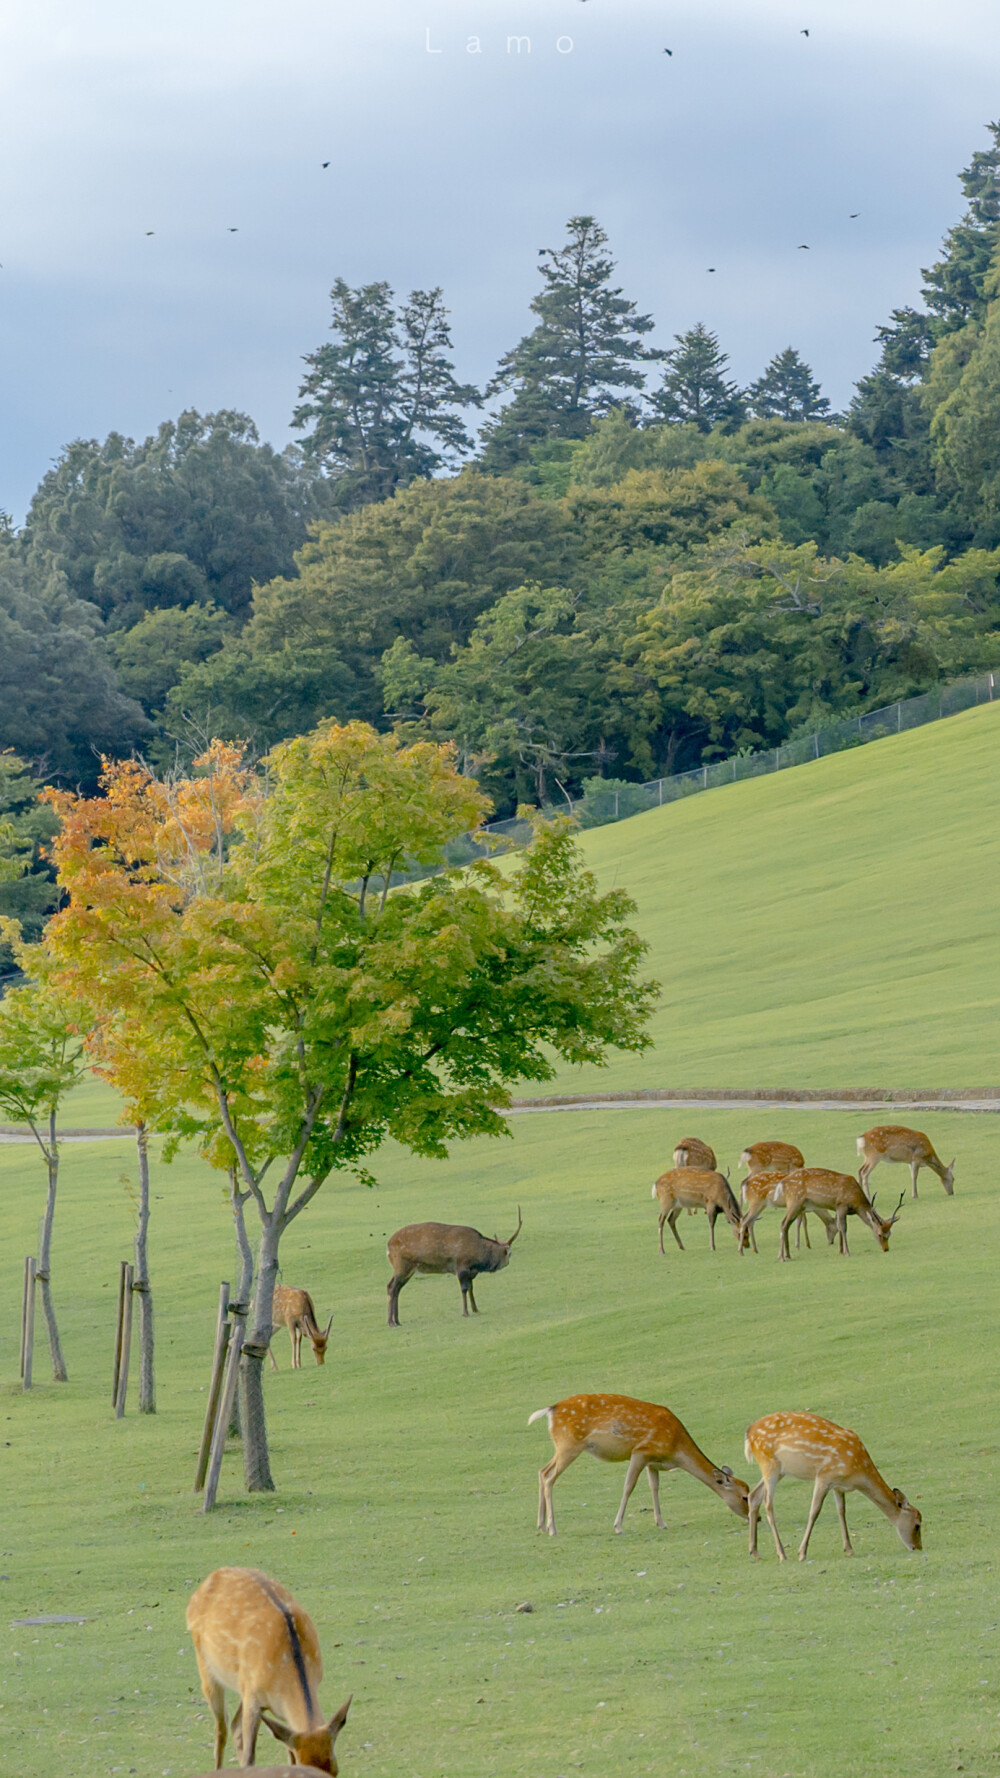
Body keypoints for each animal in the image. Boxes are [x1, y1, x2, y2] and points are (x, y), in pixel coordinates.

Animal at [185, 1564, 352, 1770]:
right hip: (206, 1666)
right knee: (221, 1729)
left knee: (234, 1725)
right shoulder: (253, 1698)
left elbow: (288, 1754)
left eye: (335, 1769)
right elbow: (249, 1757)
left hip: (243, 1686)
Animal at [382, 1209, 523, 1322]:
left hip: (408, 1269)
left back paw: (397, 1320)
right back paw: (390, 1322)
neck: (478, 1259)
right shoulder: (461, 1266)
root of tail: (388, 1246)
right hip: (401, 1265)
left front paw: (476, 1309)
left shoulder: (471, 1271)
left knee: (396, 1288)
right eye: (509, 1253)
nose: (507, 1263)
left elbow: (471, 1288)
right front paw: (465, 1313)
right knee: (391, 1287)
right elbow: (464, 1289)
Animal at [526, 1393, 743, 1536]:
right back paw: (552, 1528)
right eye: (744, 1496)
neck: (676, 1450)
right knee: (549, 1478)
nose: (751, 1517)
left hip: (562, 1447)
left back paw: (541, 1525)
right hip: (569, 1445)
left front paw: (661, 1522)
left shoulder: (652, 1462)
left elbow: (654, 1487)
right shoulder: (640, 1452)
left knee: (542, 1471)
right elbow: (628, 1486)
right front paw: (618, 1526)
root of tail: (550, 1410)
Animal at [740, 1408, 918, 1564]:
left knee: (753, 1496)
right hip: (769, 1463)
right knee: (768, 1503)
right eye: (917, 1525)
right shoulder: (824, 1476)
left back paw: (755, 1551)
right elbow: (814, 1511)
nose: (918, 1547)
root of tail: (749, 1433)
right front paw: (802, 1553)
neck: (858, 1471)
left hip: (779, 1470)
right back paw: (782, 1554)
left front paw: (849, 1549)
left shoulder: (837, 1485)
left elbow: (841, 1510)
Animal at [765, 1166, 900, 1265]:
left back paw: (787, 1255)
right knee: (783, 1223)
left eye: (890, 1234)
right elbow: (843, 1228)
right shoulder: (841, 1205)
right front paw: (847, 1252)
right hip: (794, 1201)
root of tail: (782, 1183)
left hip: (799, 1206)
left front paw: (840, 1251)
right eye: (880, 1234)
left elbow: (839, 1227)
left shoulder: (838, 1208)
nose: (886, 1249)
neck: (856, 1202)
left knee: (786, 1225)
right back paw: (782, 1257)